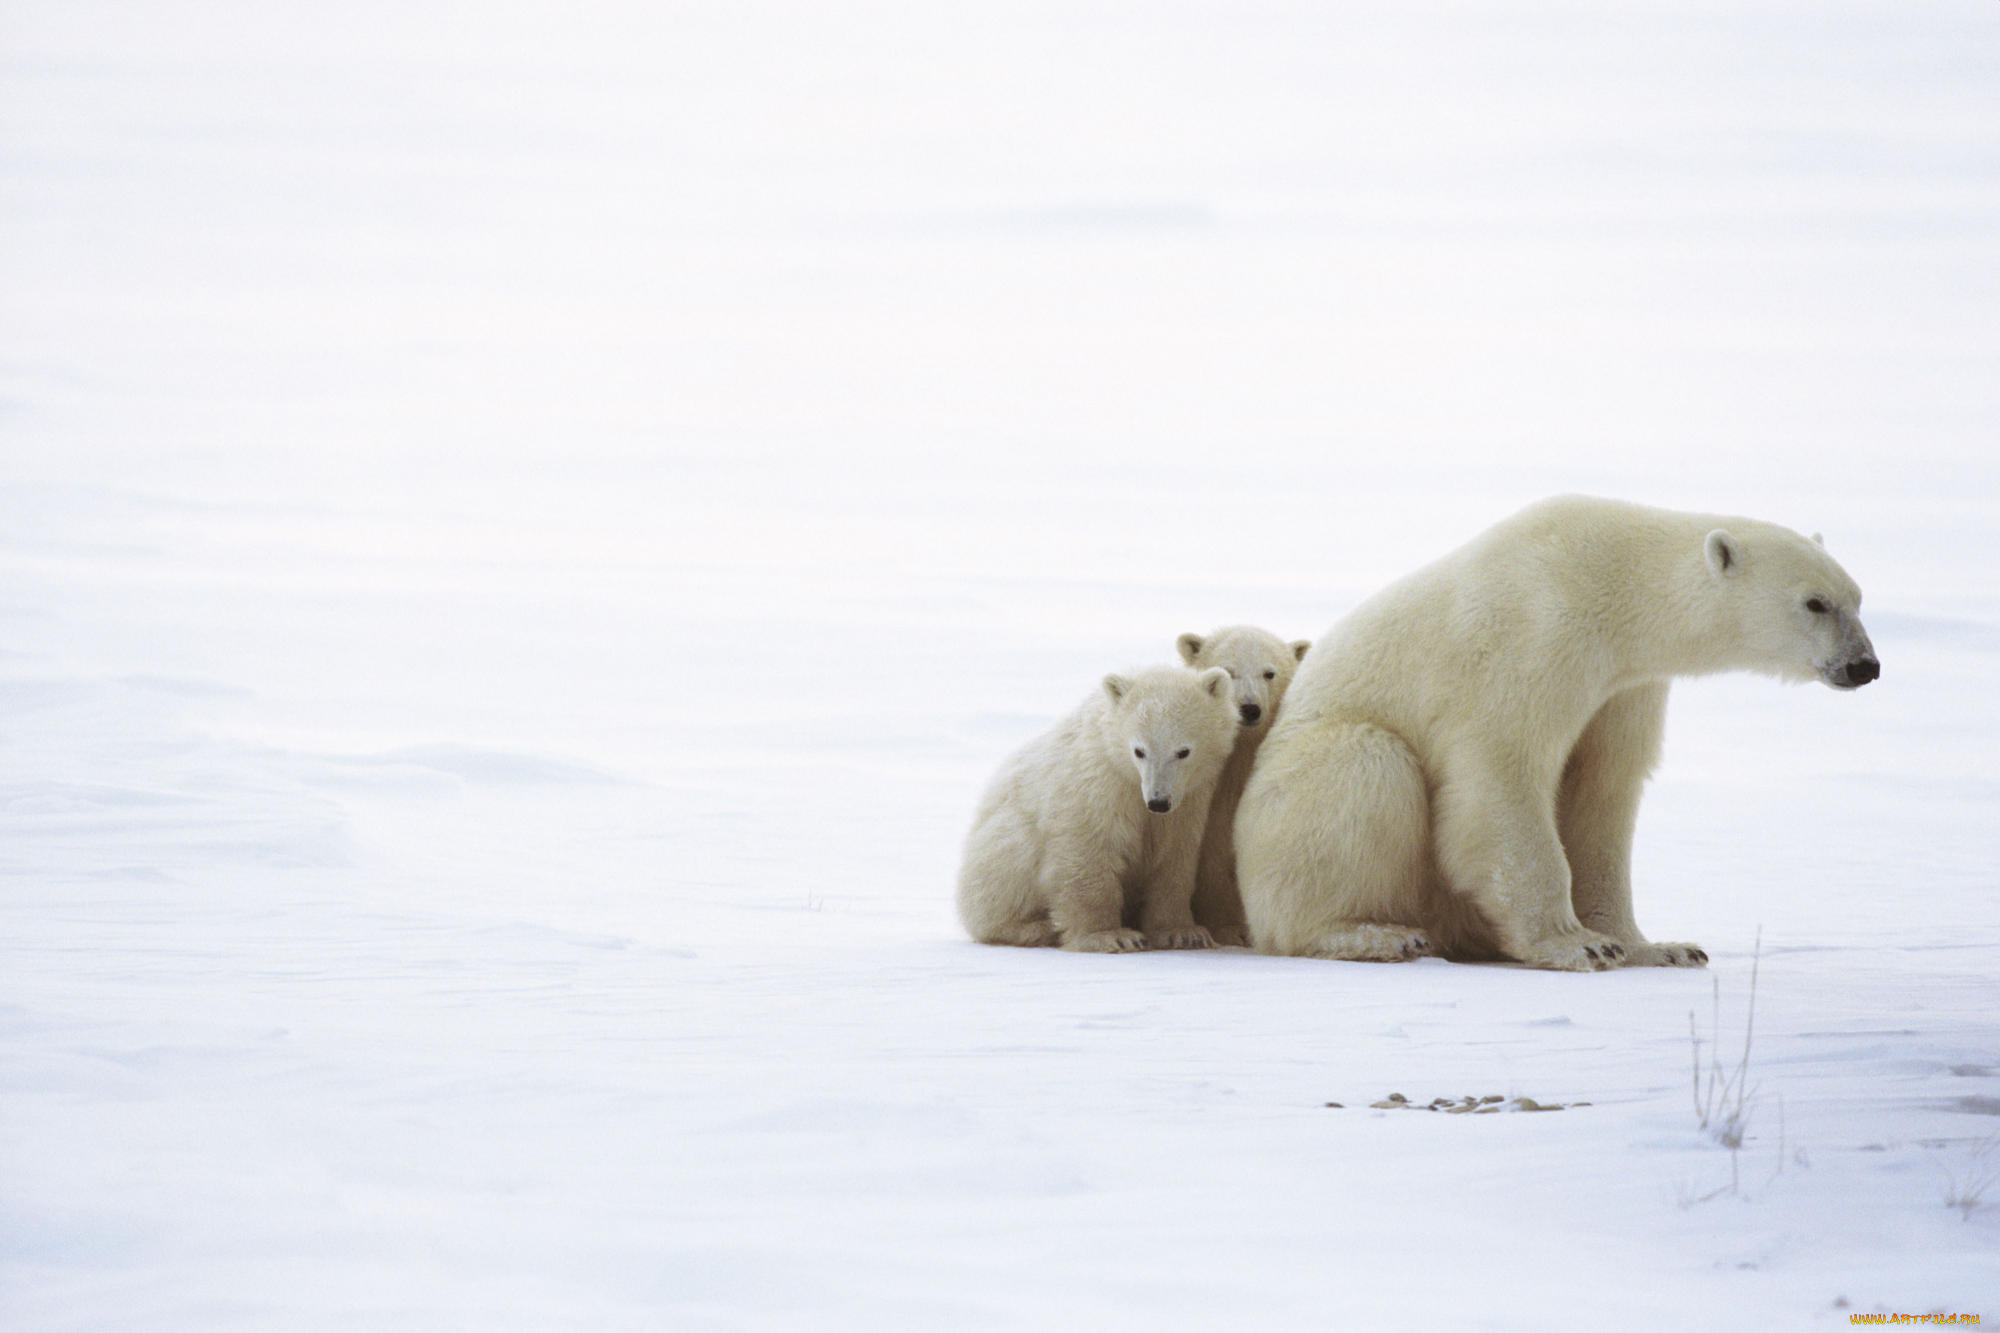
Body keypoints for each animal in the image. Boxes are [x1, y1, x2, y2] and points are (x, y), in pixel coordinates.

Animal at [960, 660, 1240, 944]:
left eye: (1183, 751)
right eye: (1139, 751)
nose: (1158, 801)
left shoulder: (1190, 800)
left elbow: (1174, 858)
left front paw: (1183, 932)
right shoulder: (1097, 784)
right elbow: (1088, 849)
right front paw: (1111, 936)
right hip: (1003, 845)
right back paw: (1037, 927)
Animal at [1232, 492, 1872, 972]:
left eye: (1858, 597)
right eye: (1815, 603)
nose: (1865, 666)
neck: (1612, 580)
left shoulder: (1623, 687)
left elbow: (1603, 791)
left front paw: (1659, 947)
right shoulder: (1533, 638)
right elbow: (1503, 776)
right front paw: (1576, 944)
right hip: (1296, 790)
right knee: (1365, 769)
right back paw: (1375, 934)